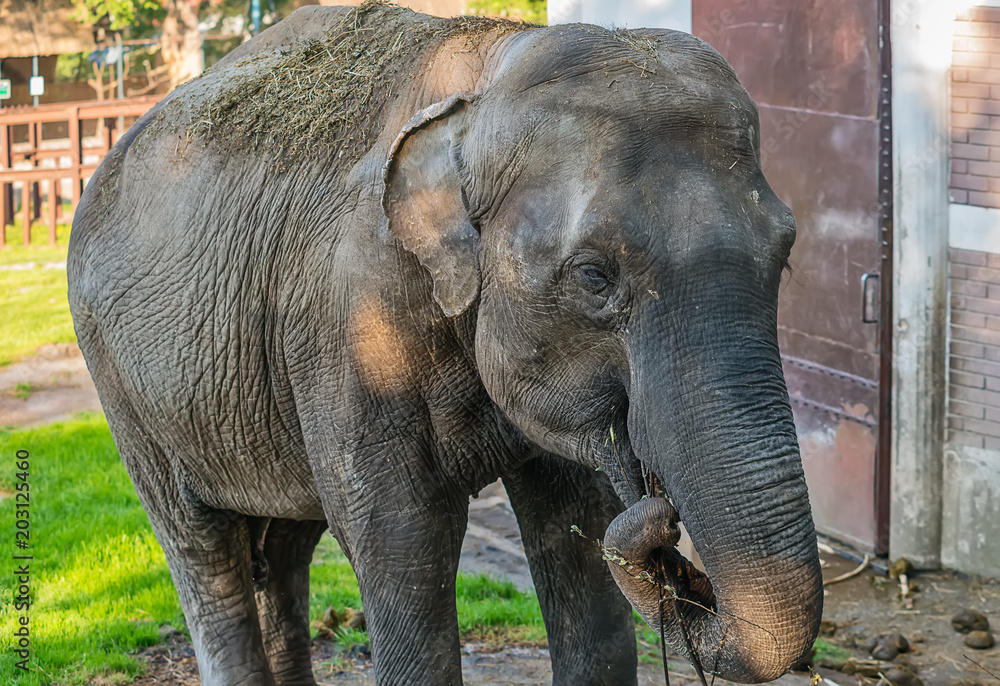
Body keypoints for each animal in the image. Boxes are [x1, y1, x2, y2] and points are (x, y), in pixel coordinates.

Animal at [67, 3, 823, 685]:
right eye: (594, 276)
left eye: (785, 255)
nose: (662, 518)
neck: (489, 73)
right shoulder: (347, 323)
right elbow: (402, 536)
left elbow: (575, 526)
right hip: (119, 383)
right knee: (201, 548)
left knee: (284, 545)